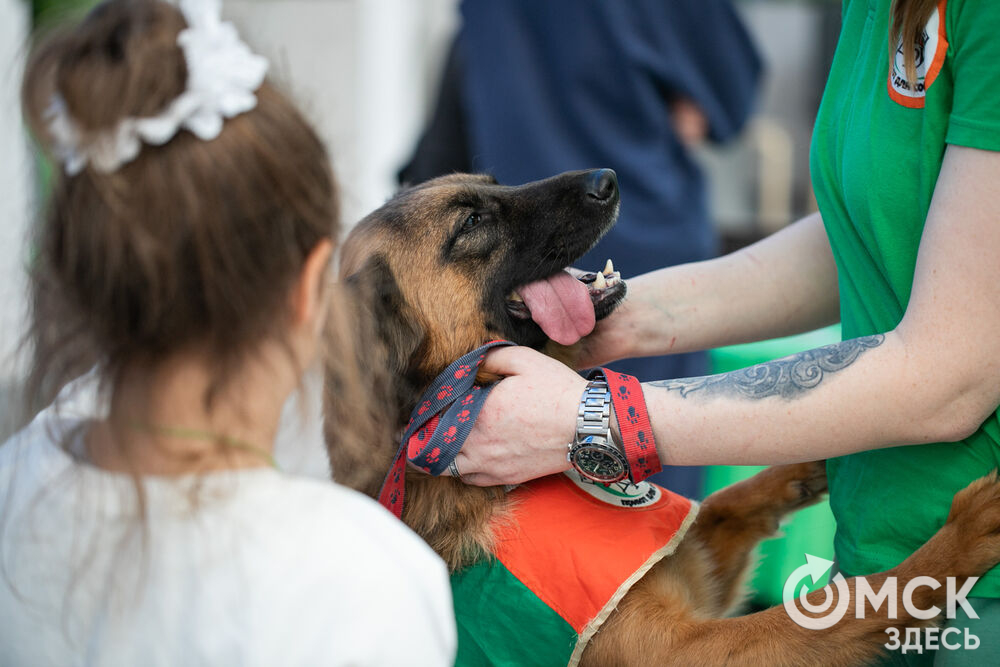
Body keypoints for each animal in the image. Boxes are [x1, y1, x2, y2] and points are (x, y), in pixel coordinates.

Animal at [328, 171, 1000, 667]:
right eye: (472, 222)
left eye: (495, 184)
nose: (606, 180)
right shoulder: (685, 650)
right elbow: (853, 599)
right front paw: (961, 537)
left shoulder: (691, 570)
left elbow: (723, 504)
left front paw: (806, 466)